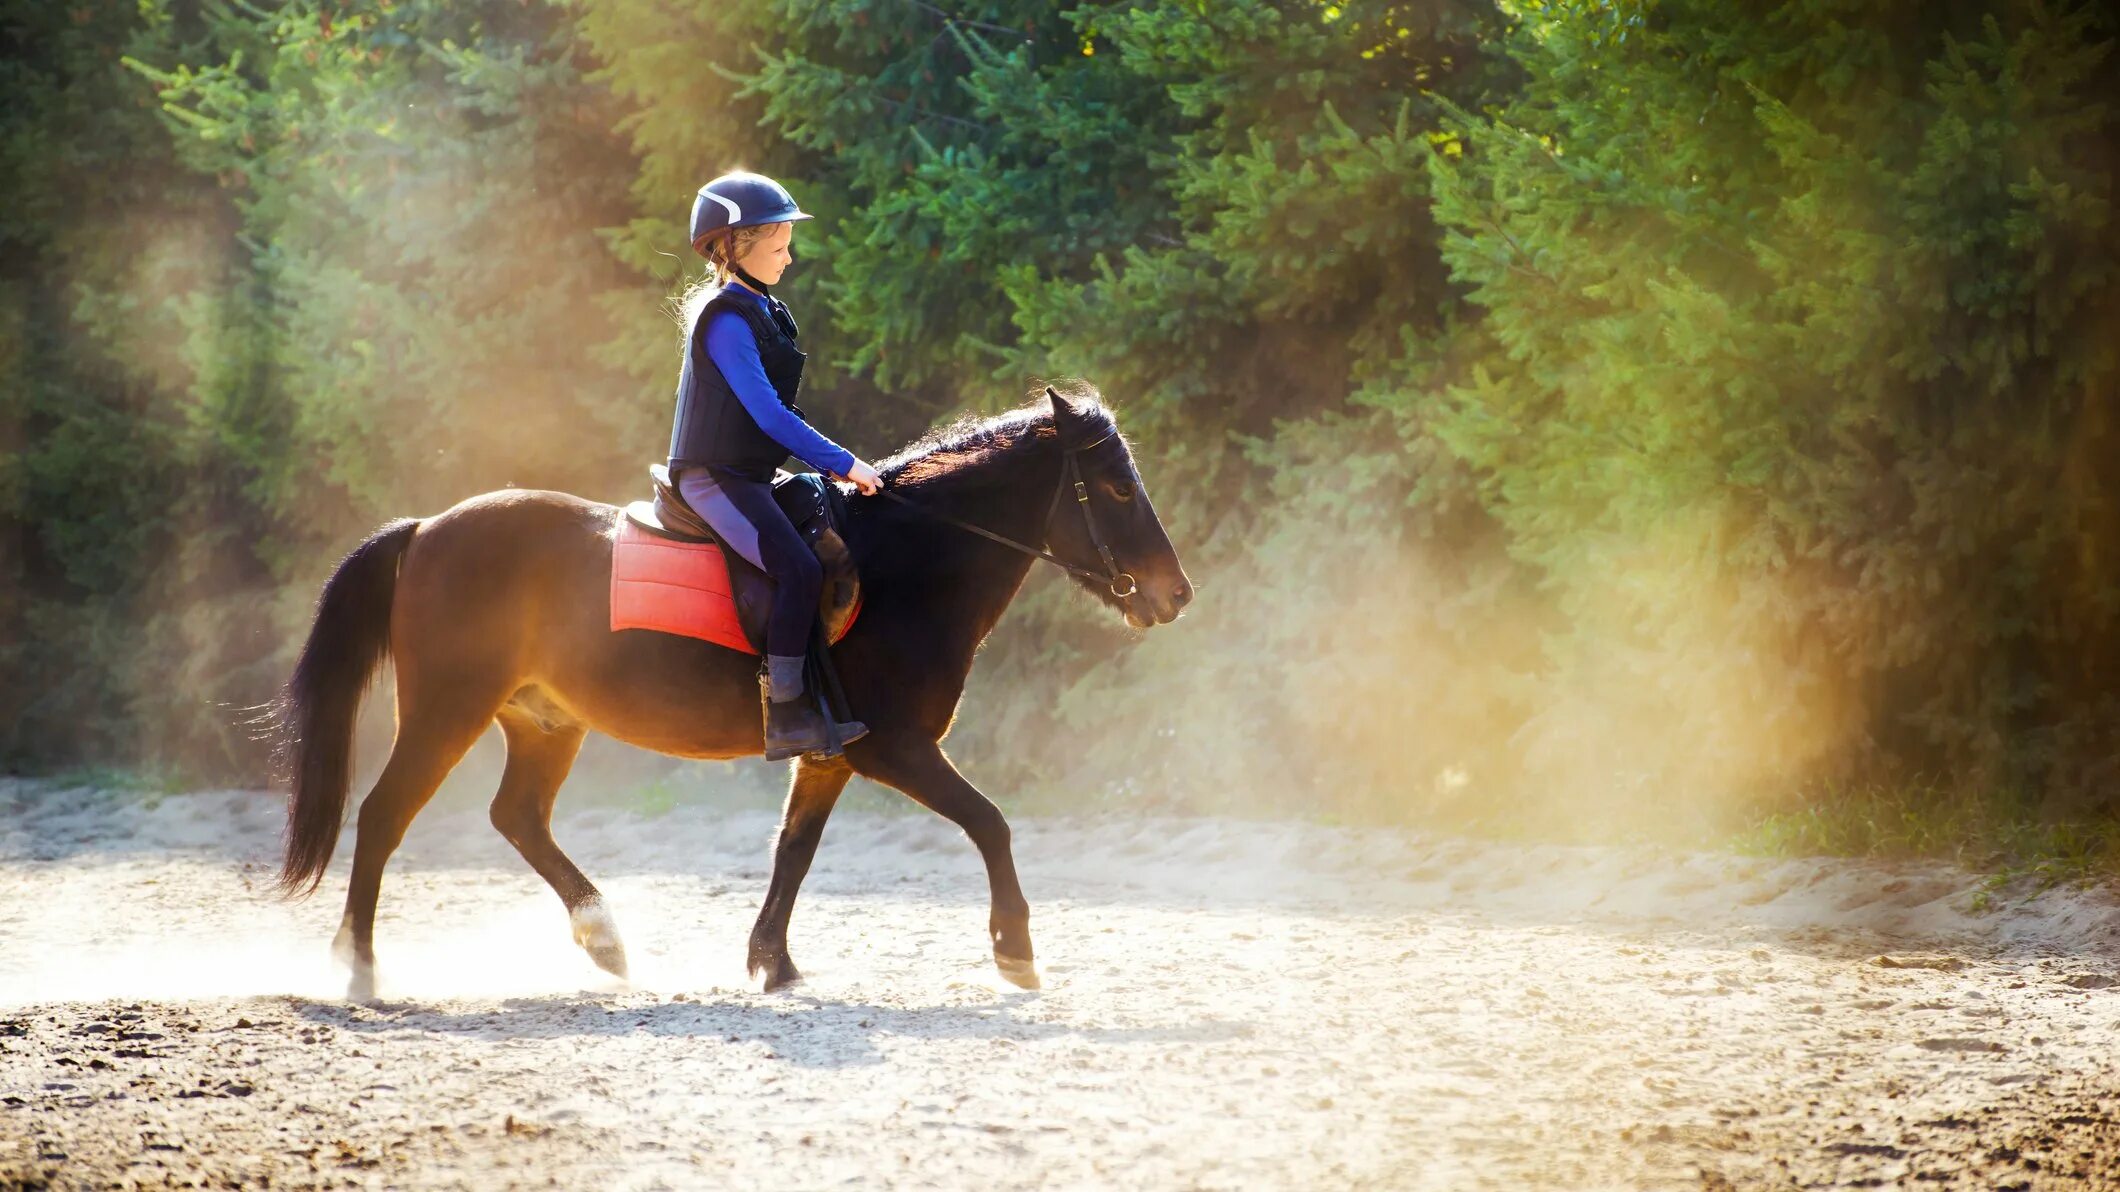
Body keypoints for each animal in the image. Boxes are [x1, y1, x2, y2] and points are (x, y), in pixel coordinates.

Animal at [271, 388, 1195, 992]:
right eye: (1117, 486)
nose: (1175, 592)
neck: (905, 565)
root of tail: (427, 529)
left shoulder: (832, 755)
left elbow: (794, 851)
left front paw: (771, 963)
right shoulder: (895, 748)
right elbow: (991, 823)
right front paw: (1015, 949)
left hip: (545, 722)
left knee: (517, 817)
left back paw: (603, 939)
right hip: (445, 711)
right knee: (383, 817)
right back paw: (359, 967)